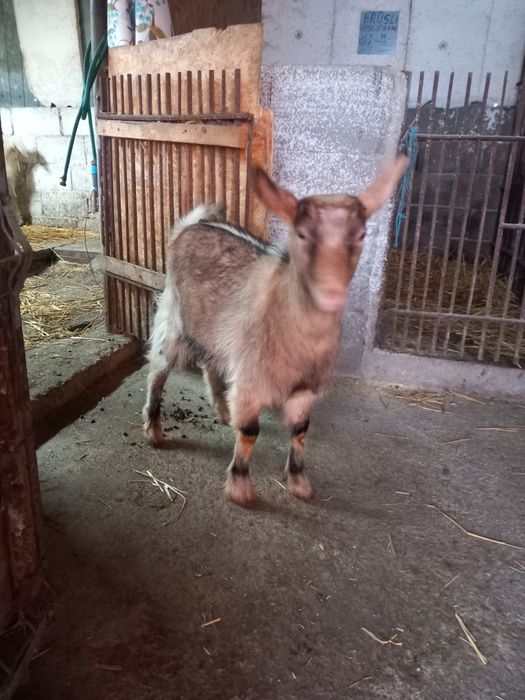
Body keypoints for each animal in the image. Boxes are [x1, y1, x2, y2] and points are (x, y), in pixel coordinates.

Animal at [142, 156, 407, 506]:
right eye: (302, 234)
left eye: (362, 234)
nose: (331, 293)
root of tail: (192, 224)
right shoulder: (252, 381)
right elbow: (250, 432)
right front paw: (240, 488)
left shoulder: (305, 389)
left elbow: (301, 431)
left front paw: (299, 482)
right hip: (172, 317)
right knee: (158, 369)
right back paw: (154, 429)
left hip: (215, 332)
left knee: (210, 362)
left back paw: (223, 410)